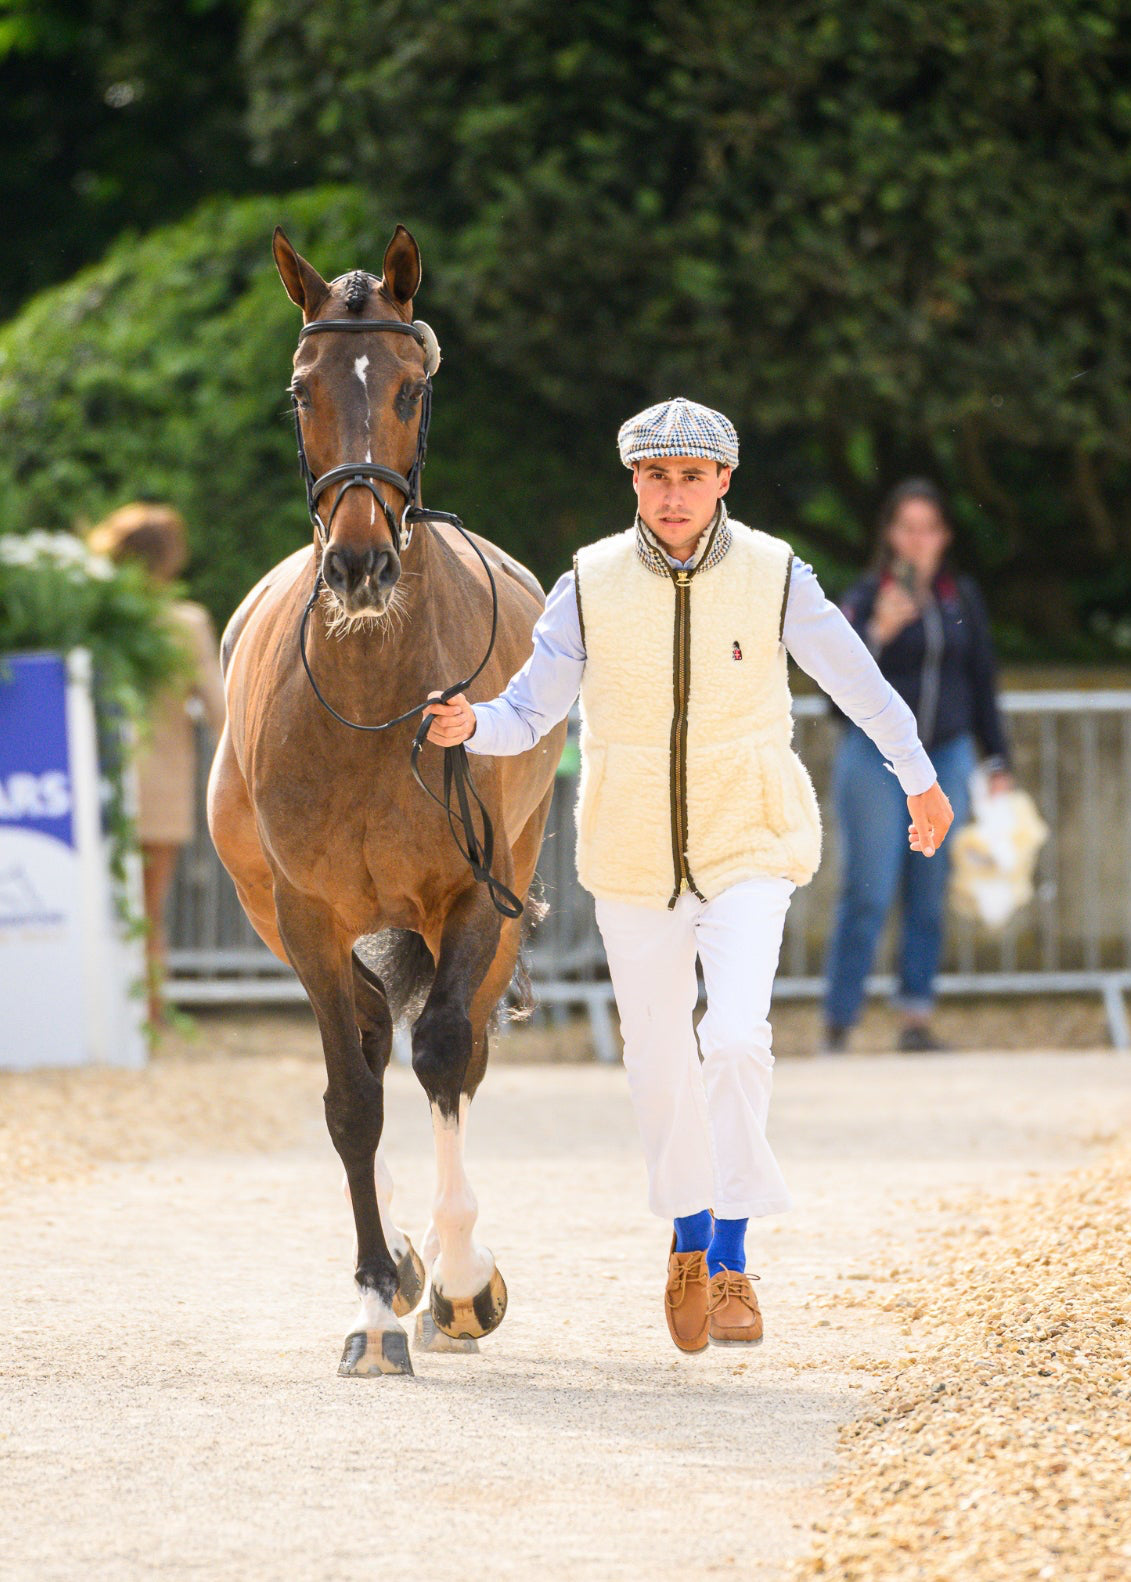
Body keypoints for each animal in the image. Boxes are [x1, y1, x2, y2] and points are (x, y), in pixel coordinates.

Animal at [206, 224, 566, 1376]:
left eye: (411, 388)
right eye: (300, 390)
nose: (360, 564)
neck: (370, 696)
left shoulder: (471, 895)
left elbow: (445, 1052)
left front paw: (460, 1285)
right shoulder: (308, 914)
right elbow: (351, 1096)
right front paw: (376, 1294)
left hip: (506, 892)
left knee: (460, 1049)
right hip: (275, 915)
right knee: (366, 1035)